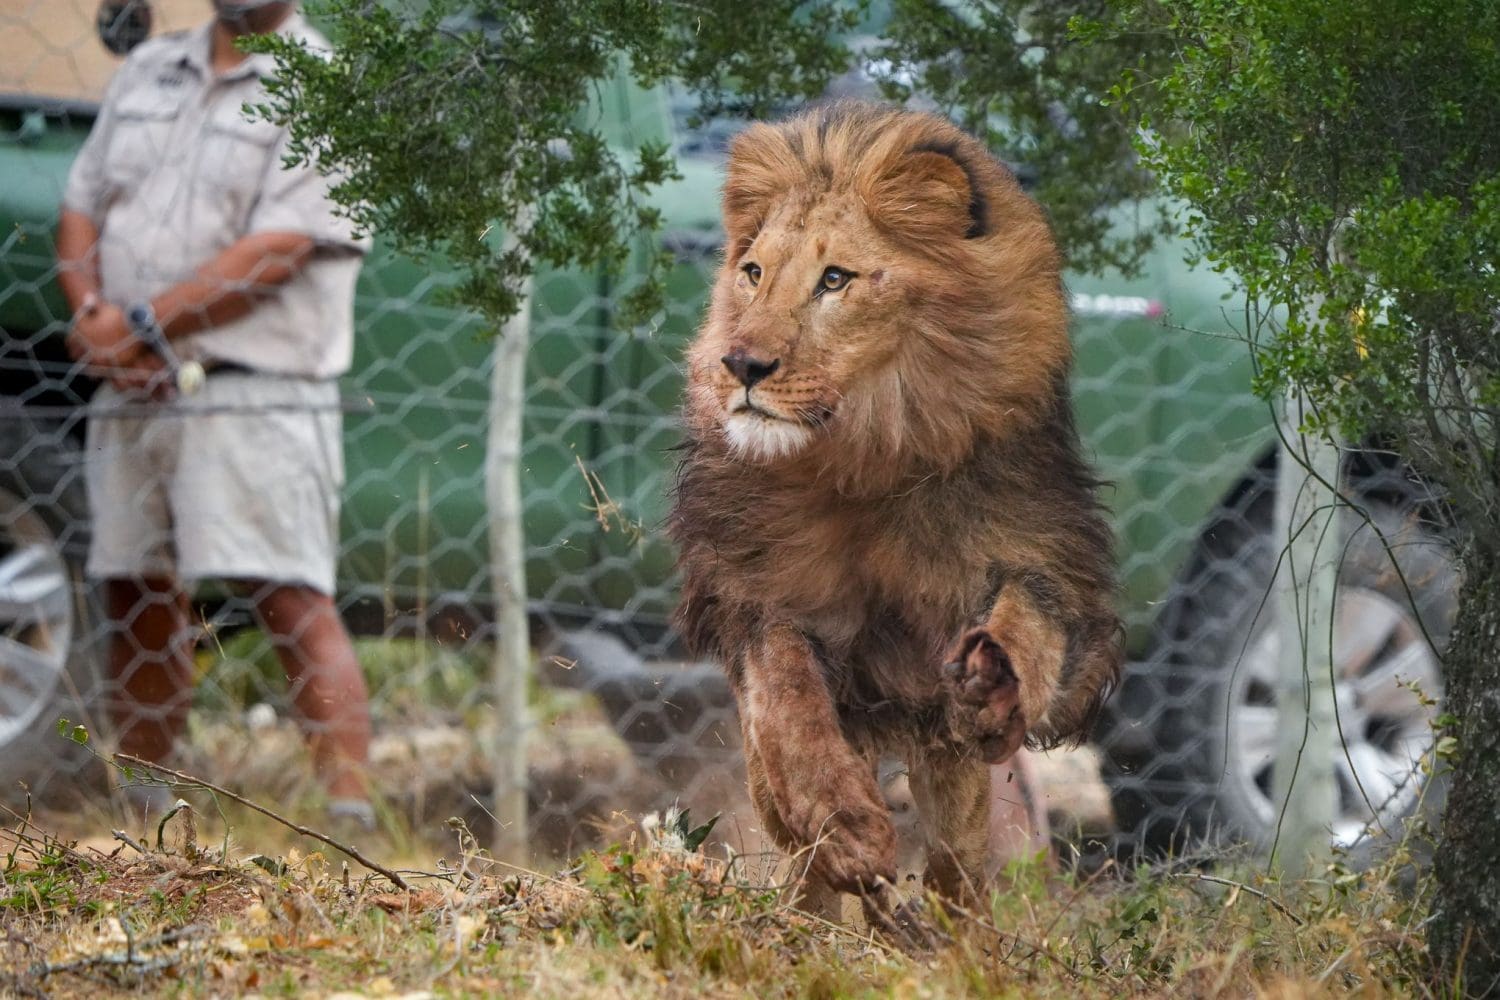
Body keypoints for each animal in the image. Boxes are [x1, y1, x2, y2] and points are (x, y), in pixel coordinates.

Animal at [672, 101, 1128, 917]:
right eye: (753, 273)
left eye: (835, 280)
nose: (742, 364)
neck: (866, 456)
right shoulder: (755, 593)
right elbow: (788, 699)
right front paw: (845, 824)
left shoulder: (1039, 548)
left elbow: (1033, 621)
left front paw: (996, 678)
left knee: (958, 864)